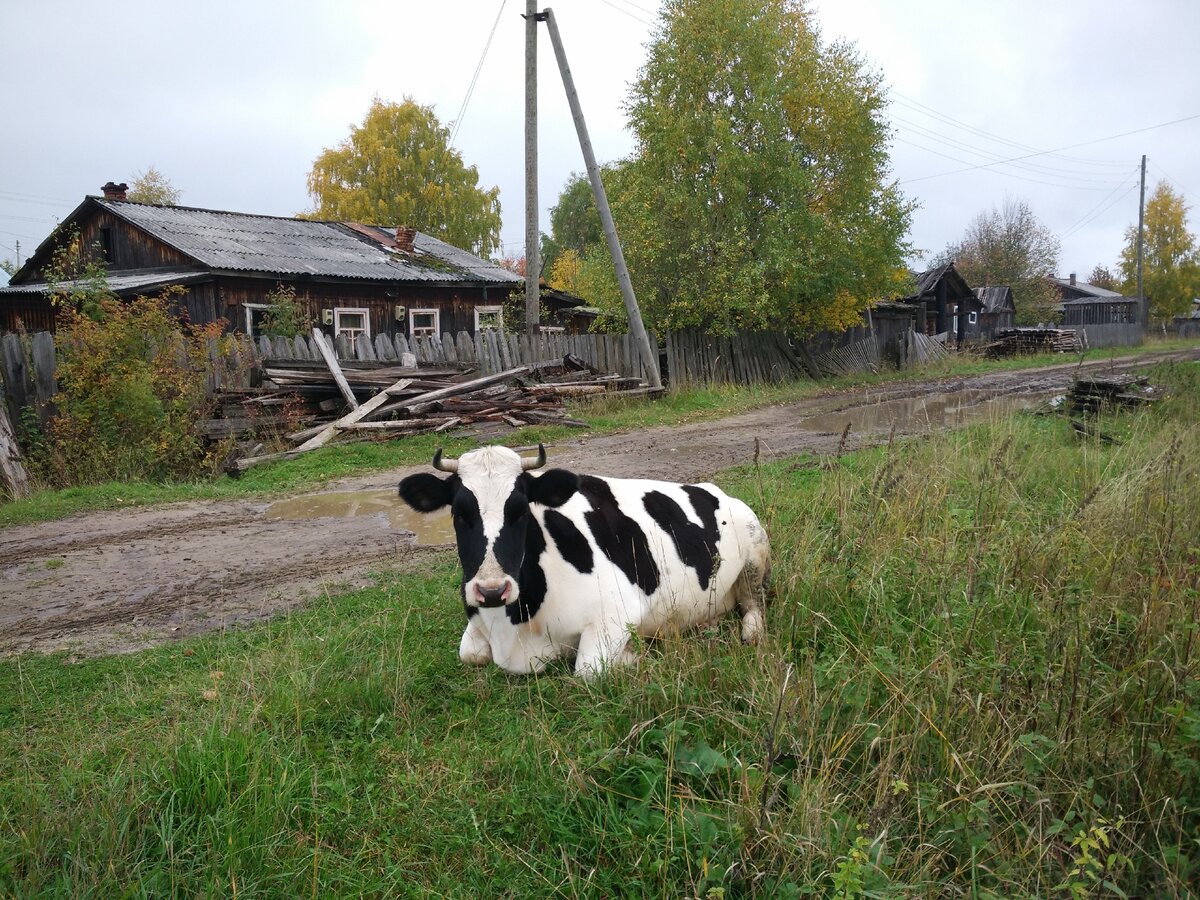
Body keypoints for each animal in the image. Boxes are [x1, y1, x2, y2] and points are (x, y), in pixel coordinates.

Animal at [393, 444, 768, 676]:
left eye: (520, 510)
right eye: (459, 513)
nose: (491, 590)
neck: (515, 625)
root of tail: (711, 488)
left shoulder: (618, 612)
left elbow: (587, 670)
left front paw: (634, 655)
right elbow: (470, 654)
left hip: (756, 549)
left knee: (754, 604)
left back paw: (749, 631)